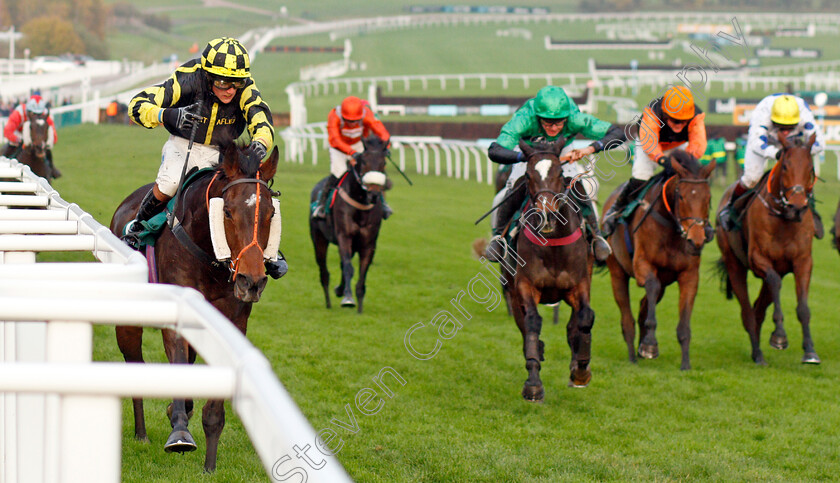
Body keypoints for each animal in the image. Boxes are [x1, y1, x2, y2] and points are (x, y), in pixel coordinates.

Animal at [106, 143, 278, 472]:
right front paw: (180, 432)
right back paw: (141, 433)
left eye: (271, 213)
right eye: (227, 211)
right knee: (134, 364)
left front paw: (210, 463)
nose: (251, 281)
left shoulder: (234, 319)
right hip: (129, 319)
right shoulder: (177, 315)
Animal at [310, 136, 388, 314]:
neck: (360, 204)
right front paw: (348, 298)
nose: (374, 193)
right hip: (319, 239)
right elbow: (348, 268)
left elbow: (362, 271)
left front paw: (359, 305)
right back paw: (328, 302)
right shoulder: (344, 237)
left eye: (383, 163)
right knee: (324, 272)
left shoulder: (368, 243)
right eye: (364, 161)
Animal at [502, 139, 592, 400]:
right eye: (528, 176)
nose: (547, 217)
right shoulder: (524, 286)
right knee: (524, 327)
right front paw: (533, 383)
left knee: (574, 325)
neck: (553, 246)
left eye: (560, 173)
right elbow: (532, 323)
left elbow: (584, 319)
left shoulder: (579, 283)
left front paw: (581, 370)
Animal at [600, 153, 712, 372]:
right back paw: (633, 355)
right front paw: (651, 345)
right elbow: (651, 286)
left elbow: (684, 323)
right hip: (617, 272)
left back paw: (640, 349)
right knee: (627, 318)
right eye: (681, 196)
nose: (696, 241)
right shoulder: (643, 265)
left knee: (644, 305)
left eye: (709, 198)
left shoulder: (689, 275)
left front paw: (685, 364)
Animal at [716, 134, 820, 364]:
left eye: (810, 168)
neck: (783, 218)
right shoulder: (758, 258)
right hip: (734, 263)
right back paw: (757, 353)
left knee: (759, 308)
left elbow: (803, 307)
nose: (797, 207)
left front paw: (810, 350)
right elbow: (774, 282)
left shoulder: (803, 261)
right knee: (748, 311)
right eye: (785, 166)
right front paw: (779, 336)